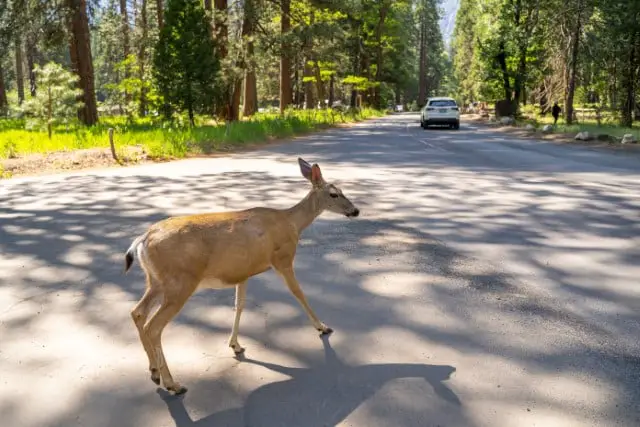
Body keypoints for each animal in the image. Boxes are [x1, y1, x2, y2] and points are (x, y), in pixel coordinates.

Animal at [121, 159, 360, 396]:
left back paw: (154, 372)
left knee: (137, 312)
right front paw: (322, 327)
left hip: (156, 280)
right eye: (334, 194)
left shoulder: (243, 272)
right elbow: (298, 293)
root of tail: (142, 239)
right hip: (179, 282)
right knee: (154, 327)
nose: (356, 211)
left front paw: (235, 344)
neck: (291, 223)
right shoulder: (282, 259)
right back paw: (173, 384)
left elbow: (239, 305)